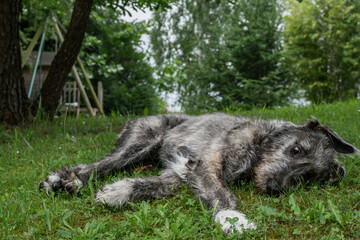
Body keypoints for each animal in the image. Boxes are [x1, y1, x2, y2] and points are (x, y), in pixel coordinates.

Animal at [38, 113, 358, 233]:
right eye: (296, 150)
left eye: (307, 178)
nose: (276, 188)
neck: (258, 144)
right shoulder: (205, 165)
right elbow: (223, 194)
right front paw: (233, 219)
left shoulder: (178, 174)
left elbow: (151, 185)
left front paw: (118, 192)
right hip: (142, 141)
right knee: (98, 165)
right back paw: (65, 180)